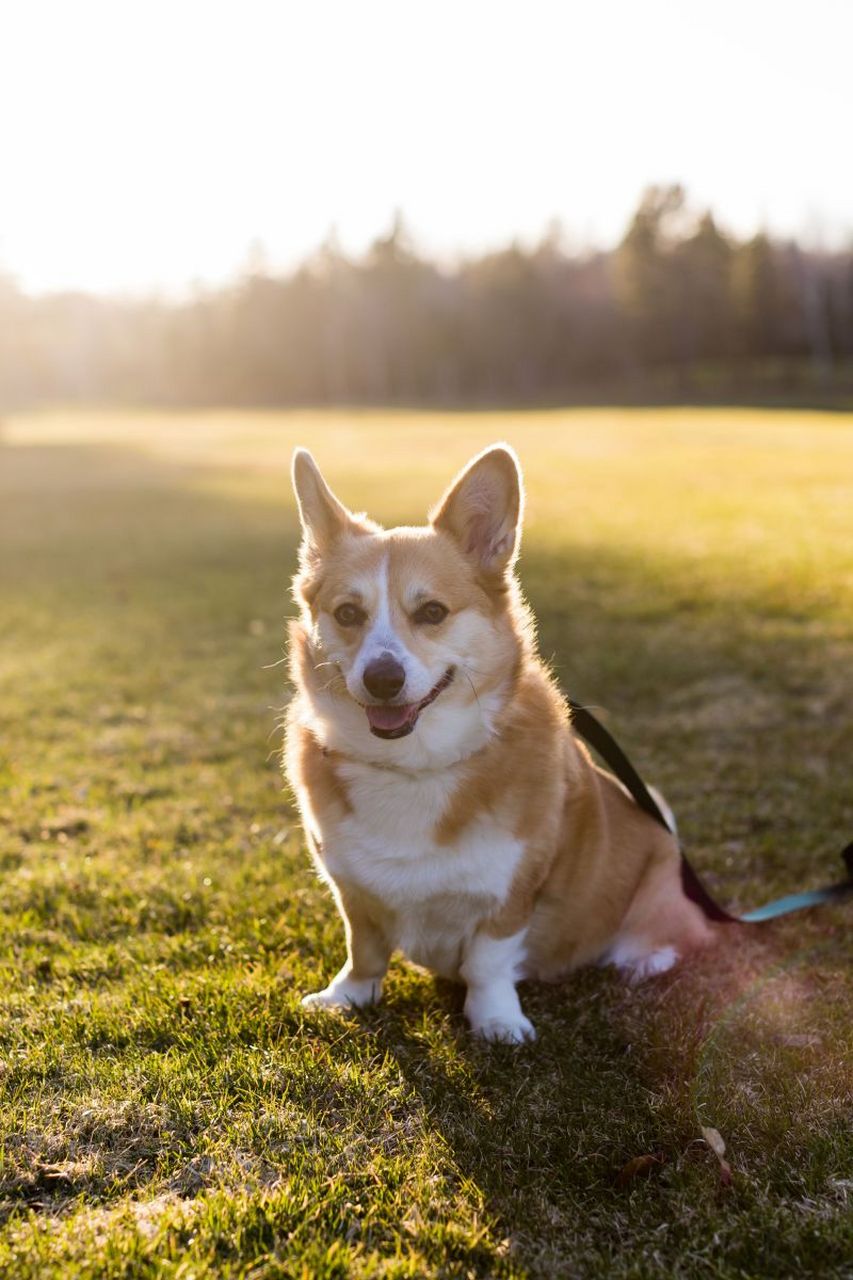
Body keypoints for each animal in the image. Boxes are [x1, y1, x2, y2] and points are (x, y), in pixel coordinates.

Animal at [285, 442, 712, 1039]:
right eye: (348, 613)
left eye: (432, 612)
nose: (382, 679)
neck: (416, 764)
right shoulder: (353, 892)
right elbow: (363, 949)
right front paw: (347, 997)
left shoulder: (514, 890)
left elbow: (488, 961)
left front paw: (496, 1023)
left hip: (659, 881)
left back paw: (644, 959)